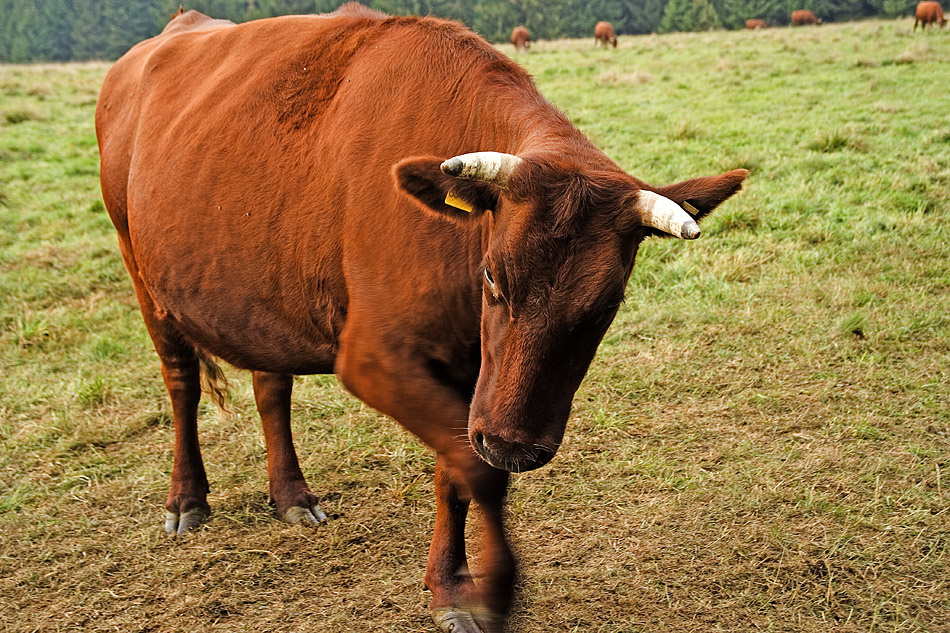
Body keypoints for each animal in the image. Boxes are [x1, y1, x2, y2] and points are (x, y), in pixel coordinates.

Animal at [96, 3, 752, 628]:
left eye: (608, 303)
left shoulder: (469, 379)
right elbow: (476, 470)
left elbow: (454, 472)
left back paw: (291, 494)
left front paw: (449, 584)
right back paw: (187, 500)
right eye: (492, 275)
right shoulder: (372, 358)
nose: (514, 443)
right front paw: (490, 588)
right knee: (181, 382)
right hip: (140, 269)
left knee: (271, 387)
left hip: (260, 292)